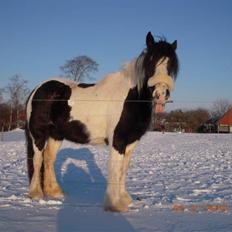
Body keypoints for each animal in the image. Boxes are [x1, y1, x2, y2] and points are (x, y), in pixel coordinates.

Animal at [25, 32, 179, 212]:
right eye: (151, 61)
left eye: (171, 64)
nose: (161, 94)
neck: (131, 98)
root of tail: (37, 89)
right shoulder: (117, 141)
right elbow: (115, 169)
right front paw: (115, 204)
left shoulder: (130, 143)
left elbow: (123, 170)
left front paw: (125, 199)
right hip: (38, 135)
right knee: (37, 160)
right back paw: (36, 194)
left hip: (56, 135)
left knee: (49, 158)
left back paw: (55, 192)